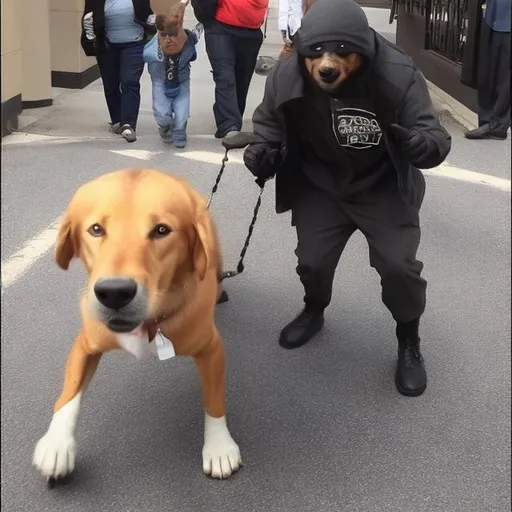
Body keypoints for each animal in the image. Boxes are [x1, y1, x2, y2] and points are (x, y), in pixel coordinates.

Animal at [33, 169, 243, 484]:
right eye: (96, 229)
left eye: (161, 230)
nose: (114, 292)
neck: (149, 324)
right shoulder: (85, 345)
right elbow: (69, 394)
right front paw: (57, 444)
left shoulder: (211, 349)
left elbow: (215, 401)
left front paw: (219, 447)